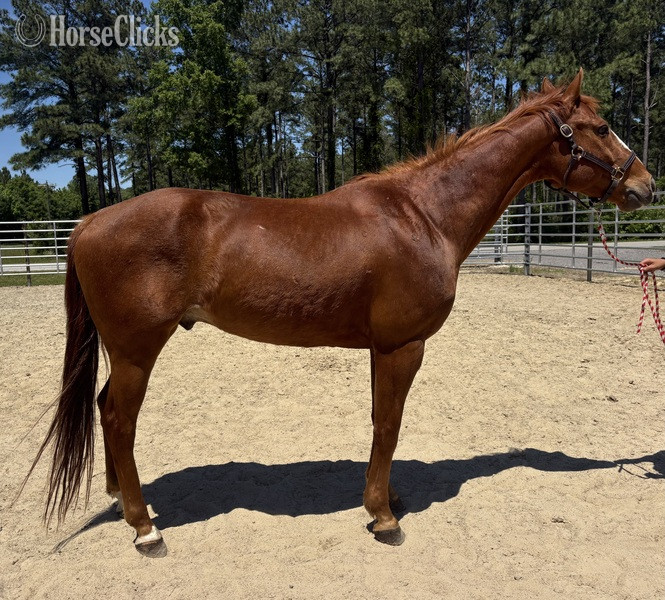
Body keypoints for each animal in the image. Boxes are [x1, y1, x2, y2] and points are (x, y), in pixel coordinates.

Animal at [28, 69, 655, 556]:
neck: (424, 215)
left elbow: (380, 422)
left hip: (123, 351)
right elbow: (389, 424)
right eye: (601, 128)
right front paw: (384, 518)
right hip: (138, 349)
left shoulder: (382, 347)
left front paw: (386, 498)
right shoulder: (404, 345)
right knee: (119, 419)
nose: (646, 185)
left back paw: (123, 502)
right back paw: (144, 529)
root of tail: (89, 222)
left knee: (105, 409)